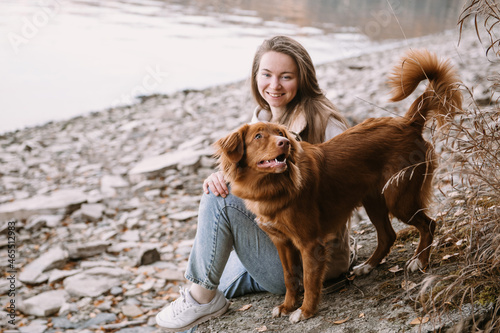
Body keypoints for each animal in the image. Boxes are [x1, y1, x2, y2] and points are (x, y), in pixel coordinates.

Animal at [214, 49, 460, 322]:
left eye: (281, 133)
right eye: (258, 136)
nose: (284, 144)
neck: (273, 186)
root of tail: (407, 123)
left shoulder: (309, 243)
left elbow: (310, 279)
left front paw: (305, 311)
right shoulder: (282, 243)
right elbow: (290, 278)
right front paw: (287, 306)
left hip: (398, 197)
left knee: (428, 224)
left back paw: (420, 262)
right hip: (373, 200)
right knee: (388, 235)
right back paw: (367, 266)